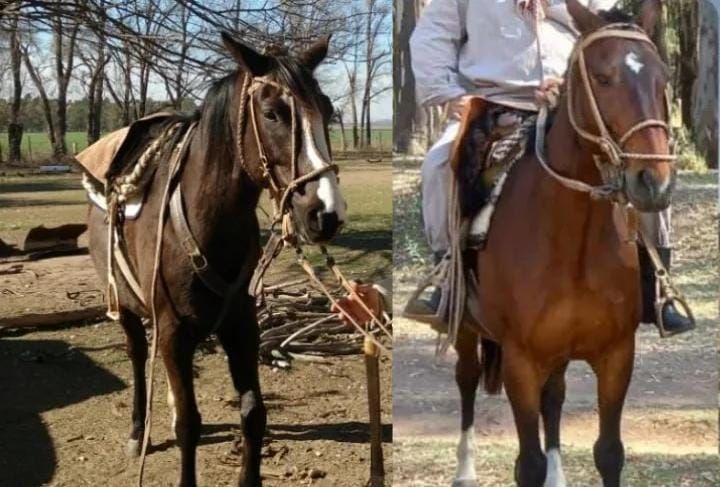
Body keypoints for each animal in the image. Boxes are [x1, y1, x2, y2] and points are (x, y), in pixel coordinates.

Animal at [87, 32, 346, 486]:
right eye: (272, 113)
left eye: (327, 110)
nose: (325, 213)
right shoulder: (174, 330)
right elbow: (188, 424)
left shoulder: (241, 325)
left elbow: (254, 413)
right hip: (125, 304)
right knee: (137, 355)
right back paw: (138, 431)